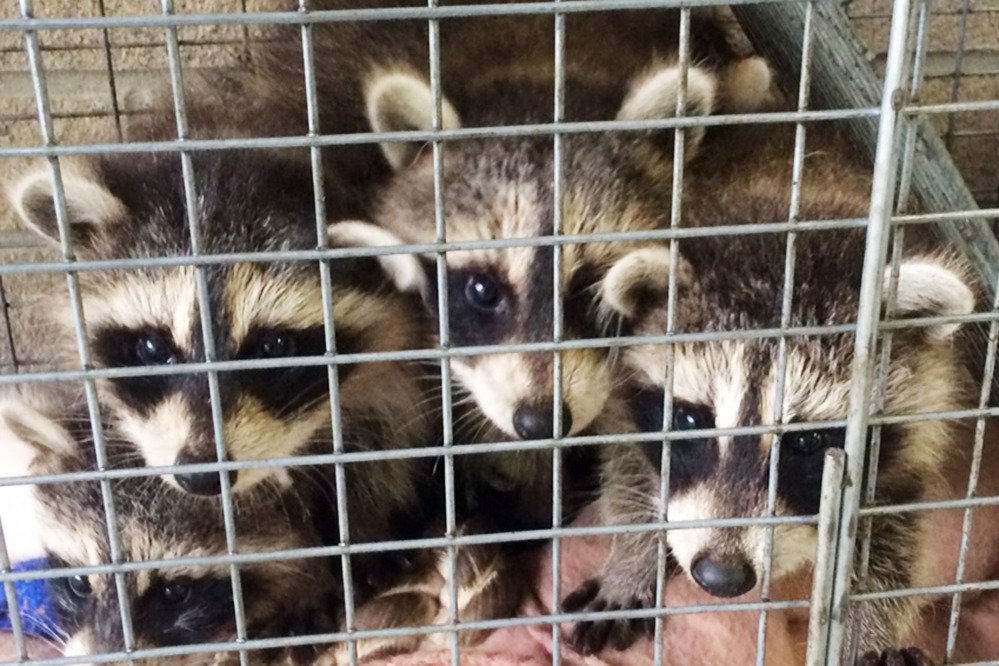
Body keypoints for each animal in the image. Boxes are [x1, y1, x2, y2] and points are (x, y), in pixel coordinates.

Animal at [568, 122, 980, 660]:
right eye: (691, 420)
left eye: (806, 441)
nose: (721, 577)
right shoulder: (624, 401)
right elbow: (631, 470)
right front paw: (633, 557)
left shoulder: (912, 432)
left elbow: (886, 528)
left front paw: (868, 626)